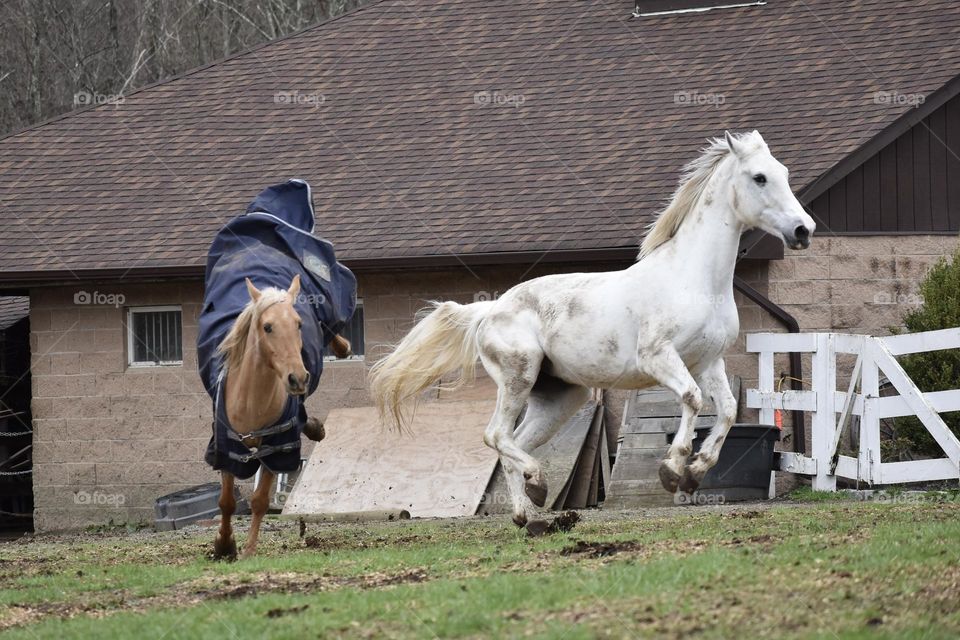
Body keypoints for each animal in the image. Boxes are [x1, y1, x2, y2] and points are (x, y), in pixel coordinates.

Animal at [215, 276, 352, 560]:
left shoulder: (276, 449)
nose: (298, 378)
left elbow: (259, 501)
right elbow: (227, 502)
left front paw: (248, 550)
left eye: (298, 324)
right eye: (267, 327)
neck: (251, 404)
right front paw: (223, 545)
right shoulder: (226, 451)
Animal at [374, 129, 816, 524]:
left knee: (513, 442)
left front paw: (695, 471)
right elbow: (692, 400)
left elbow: (724, 411)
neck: (694, 279)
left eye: (783, 172)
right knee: (495, 436)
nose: (803, 231)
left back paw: (529, 514)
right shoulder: (659, 358)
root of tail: (490, 309)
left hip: (559, 397)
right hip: (518, 378)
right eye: (759, 177)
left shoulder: (709, 362)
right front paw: (673, 469)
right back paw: (537, 486)